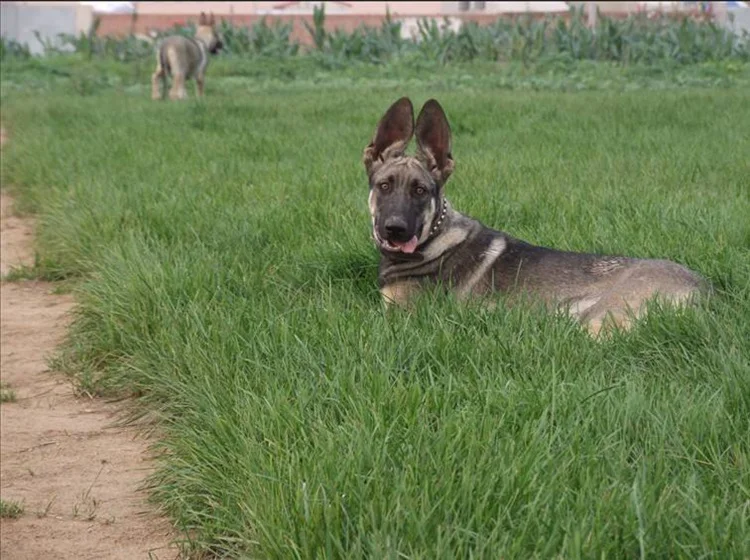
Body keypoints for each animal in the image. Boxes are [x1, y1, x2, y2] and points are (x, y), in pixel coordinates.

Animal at [366, 98, 712, 334]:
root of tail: (706, 293)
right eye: (384, 186)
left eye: (420, 191)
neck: (435, 236)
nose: (394, 230)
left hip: (597, 317)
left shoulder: (398, 315)